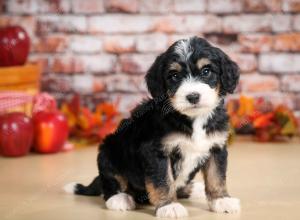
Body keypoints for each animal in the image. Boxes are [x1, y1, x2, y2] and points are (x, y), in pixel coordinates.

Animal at [63, 36, 241, 218]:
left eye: (206, 71)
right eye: (174, 76)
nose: (193, 96)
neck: (193, 118)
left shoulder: (216, 147)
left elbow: (216, 176)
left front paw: (221, 200)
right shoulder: (155, 151)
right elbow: (163, 180)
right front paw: (169, 206)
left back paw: (192, 188)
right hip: (108, 151)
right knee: (110, 181)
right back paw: (119, 198)